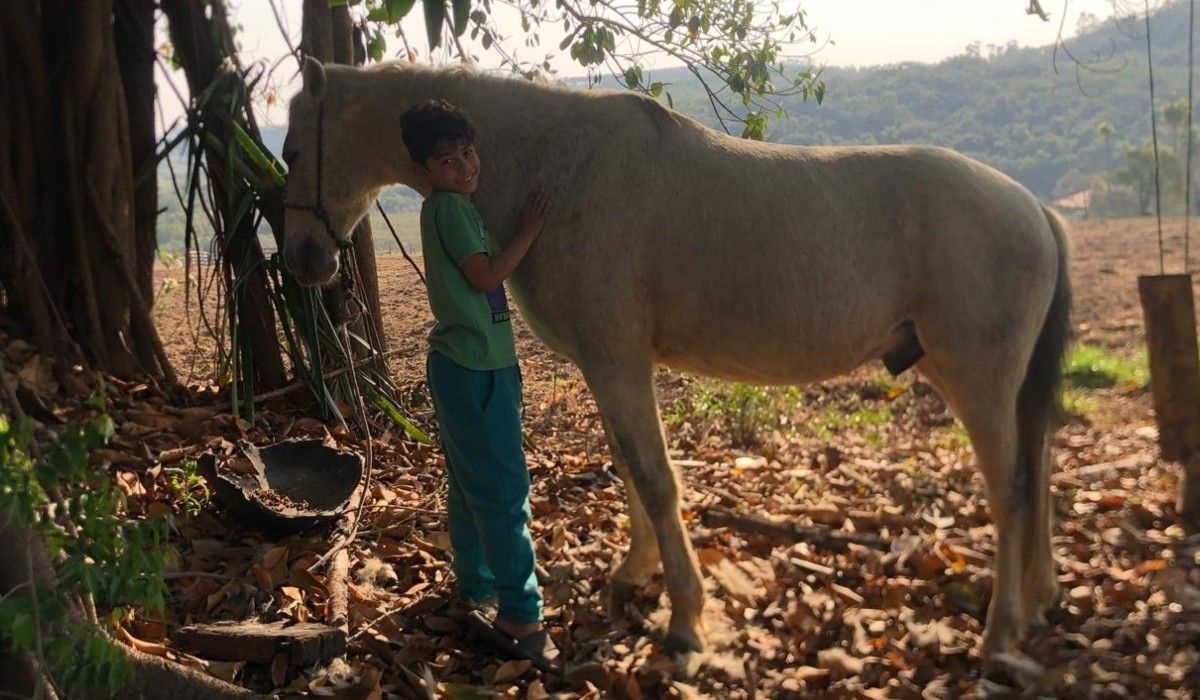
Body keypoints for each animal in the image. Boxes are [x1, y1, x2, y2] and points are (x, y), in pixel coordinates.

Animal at [281, 59, 1071, 656]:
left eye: (290, 151)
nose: (304, 261)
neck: (558, 166)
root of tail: (1034, 207)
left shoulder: (619, 362)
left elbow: (658, 482)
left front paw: (686, 618)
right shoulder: (609, 366)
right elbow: (632, 469)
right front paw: (634, 576)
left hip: (978, 382)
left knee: (1011, 492)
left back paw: (1000, 634)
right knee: (1038, 473)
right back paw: (1037, 602)